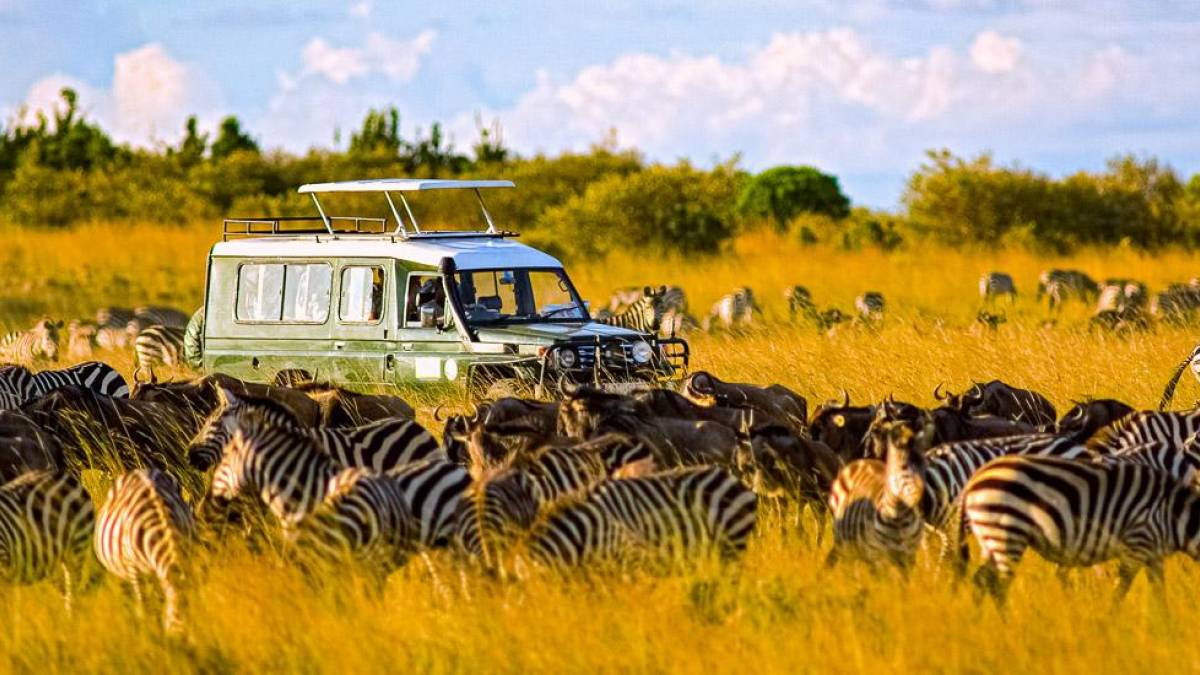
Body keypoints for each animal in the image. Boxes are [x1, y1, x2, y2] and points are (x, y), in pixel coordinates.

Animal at [961, 456, 1200, 606]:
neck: (1175, 514)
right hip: (1007, 532)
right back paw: (1007, 628)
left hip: (991, 538)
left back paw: (978, 625)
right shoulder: (1138, 542)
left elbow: (1159, 595)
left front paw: (1163, 630)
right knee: (999, 586)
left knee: (981, 580)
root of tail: (974, 480)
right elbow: (1120, 590)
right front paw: (1107, 626)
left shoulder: (1153, 554)